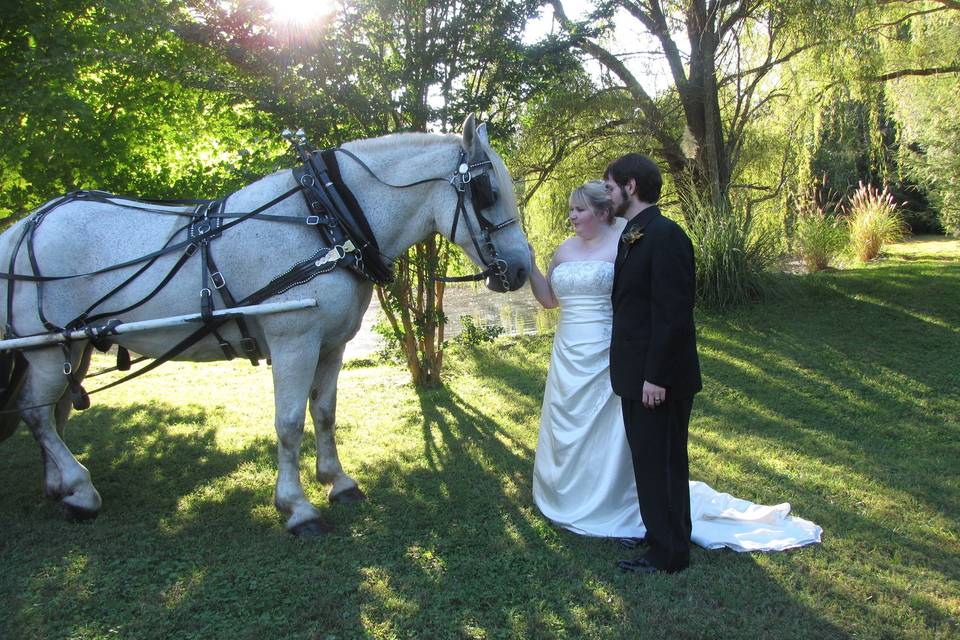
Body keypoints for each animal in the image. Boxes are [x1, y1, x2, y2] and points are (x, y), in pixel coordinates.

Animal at [0, 115, 532, 536]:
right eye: (488, 192)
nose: (523, 269)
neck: (326, 220)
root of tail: (21, 227)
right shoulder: (294, 340)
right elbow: (290, 423)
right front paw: (297, 508)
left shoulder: (332, 345)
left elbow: (324, 413)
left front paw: (338, 482)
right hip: (45, 349)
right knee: (35, 412)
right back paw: (80, 491)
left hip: (72, 347)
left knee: (53, 410)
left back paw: (59, 487)